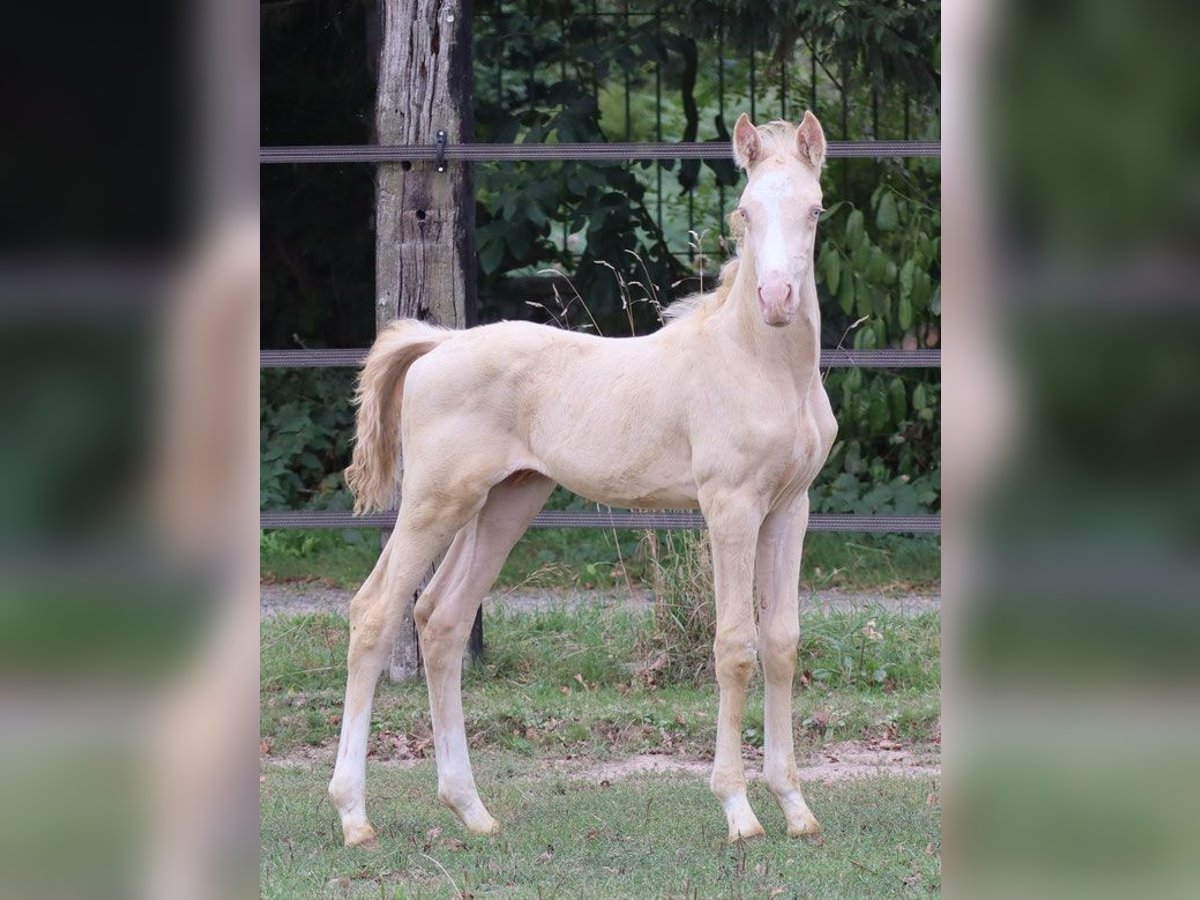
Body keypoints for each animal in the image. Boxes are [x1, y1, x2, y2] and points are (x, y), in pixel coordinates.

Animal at [326, 111, 835, 844]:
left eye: (815, 210)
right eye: (744, 210)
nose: (776, 299)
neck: (760, 363)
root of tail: (441, 344)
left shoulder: (789, 508)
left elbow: (783, 643)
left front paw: (794, 806)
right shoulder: (731, 507)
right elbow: (735, 646)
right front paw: (738, 810)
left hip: (505, 501)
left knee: (441, 618)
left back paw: (472, 810)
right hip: (435, 501)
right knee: (374, 613)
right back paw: (354, 816)